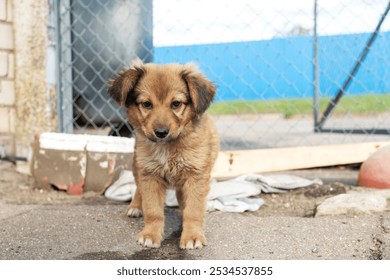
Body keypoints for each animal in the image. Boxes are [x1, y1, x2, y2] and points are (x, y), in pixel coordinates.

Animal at [108, 60, 219, 248]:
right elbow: (153, 210)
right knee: (138, 188)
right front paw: (150, 234)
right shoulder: (149, 174)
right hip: (137, 165)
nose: (161, 132)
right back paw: (136, 206)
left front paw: (192, 236)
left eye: (176, 104)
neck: (167, 148)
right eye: (146, 104)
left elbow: (193, 210)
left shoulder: (196, 175)